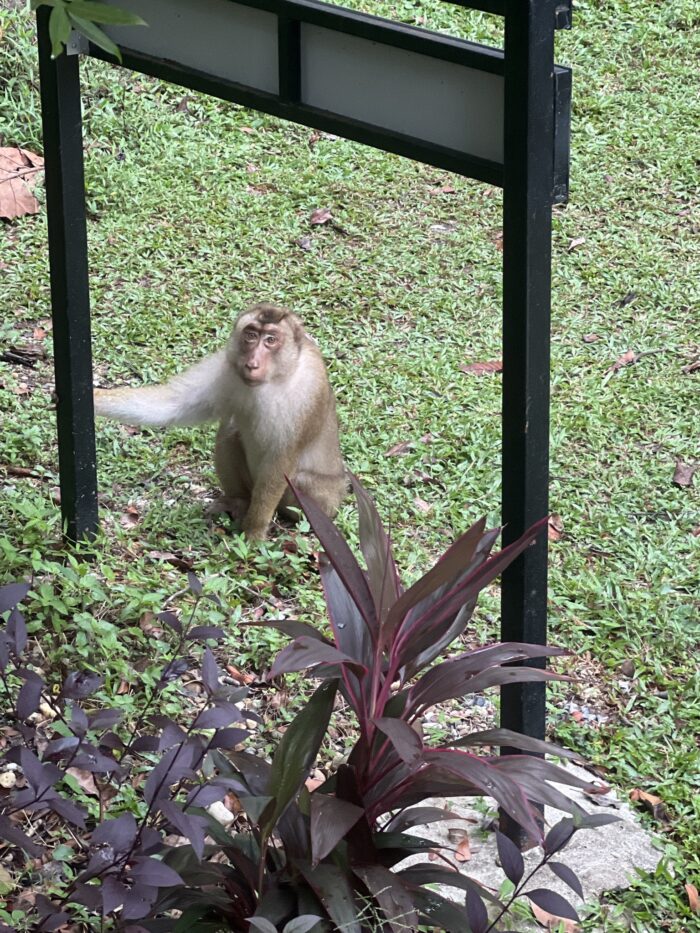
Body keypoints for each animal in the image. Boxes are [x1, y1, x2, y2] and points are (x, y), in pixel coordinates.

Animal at [95, 302, 348, 540]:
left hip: (324, 501)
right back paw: (237, 501)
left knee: (300, 481)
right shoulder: (226, 365)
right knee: (229, 432)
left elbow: (281, 461)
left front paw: (254, 533)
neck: (275, 378)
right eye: (251, 335)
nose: (252, 363)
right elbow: (175, 403)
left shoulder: (307, 389)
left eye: (271, 340)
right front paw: (95, 398)